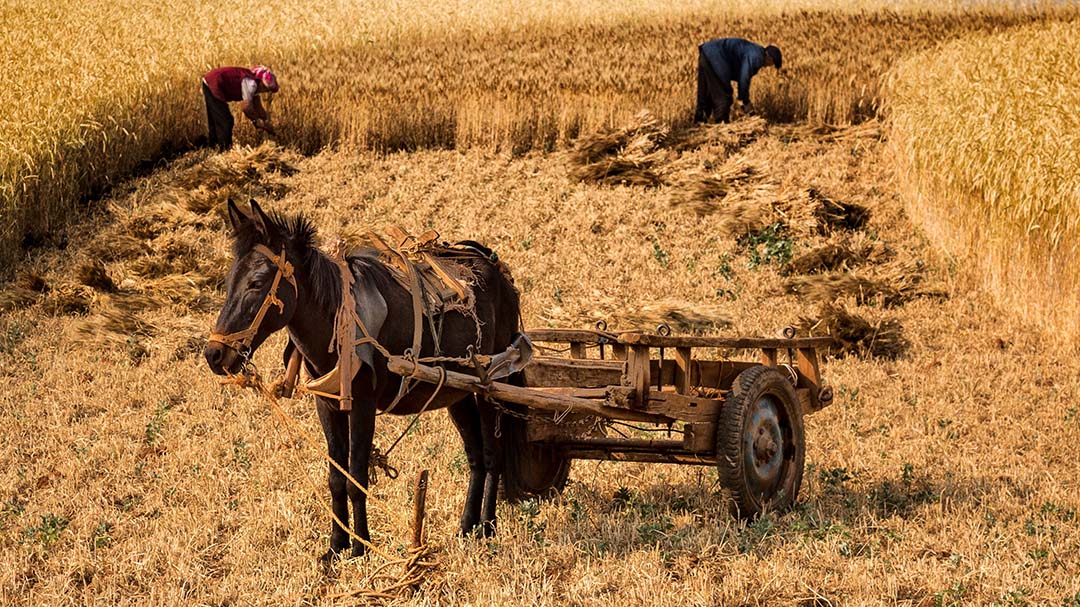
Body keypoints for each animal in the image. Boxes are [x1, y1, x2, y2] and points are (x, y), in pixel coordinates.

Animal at [205, 198, 522, 557]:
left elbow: (355, 476)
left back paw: (488, 525)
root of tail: (496, 268)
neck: (337, 320)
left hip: (491, 387)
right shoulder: (327, 406)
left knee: (492, 454)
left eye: (257, 283)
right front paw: (336, 546)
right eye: (229, 281)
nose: (215, 354)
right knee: (475, 457)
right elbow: (335, 477)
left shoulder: (363, 407)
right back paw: (467, 526)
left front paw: (361, 547)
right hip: (458, 393)